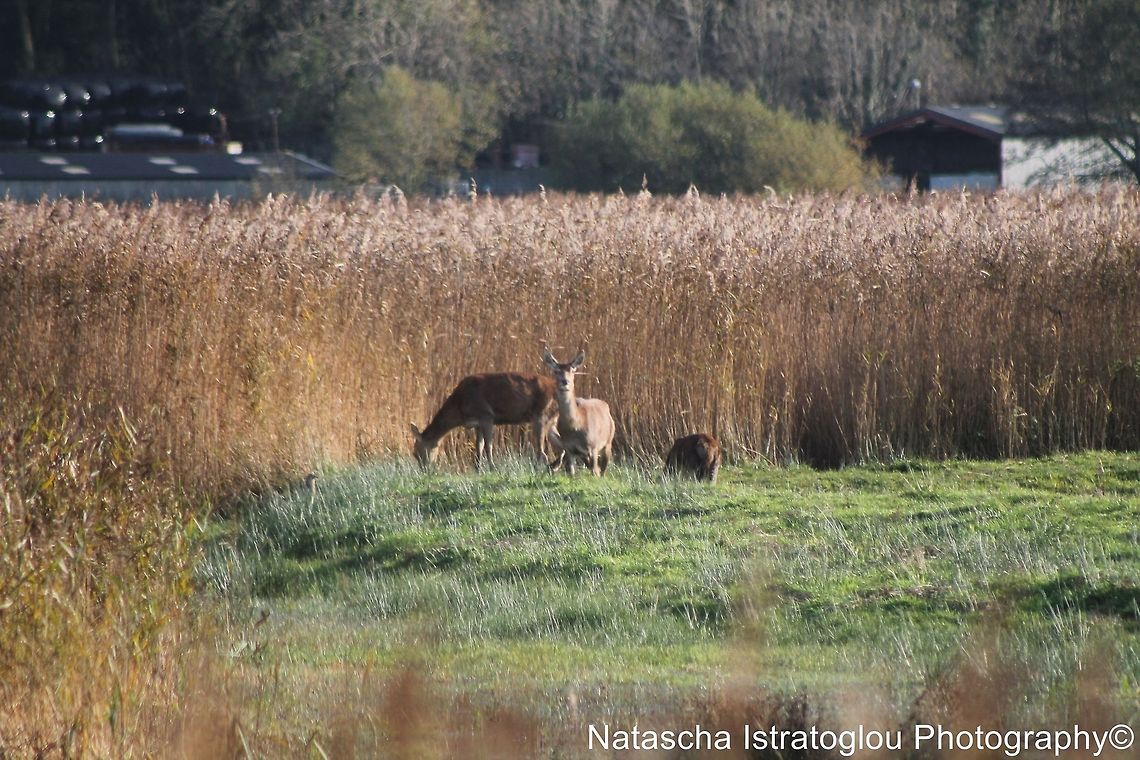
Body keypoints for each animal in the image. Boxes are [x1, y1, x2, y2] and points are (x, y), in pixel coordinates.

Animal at [409, 372, 559, 468]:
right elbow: (479, 446)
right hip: (551, 419)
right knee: (558, 442)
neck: (460, 408)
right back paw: (555, 467)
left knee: (542, 450)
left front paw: (492, 467)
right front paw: (478, 468)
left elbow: (488, 446)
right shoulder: (477, 423)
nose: (424, 470)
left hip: (541, 414)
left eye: (416, 452)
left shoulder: (486, 415)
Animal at [542, 348, 615, 476]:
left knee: (602, 470)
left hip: (608, 442)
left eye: (572, 370)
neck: (576, 425)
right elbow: (571, 472)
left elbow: (595, 472)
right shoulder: (569, 449)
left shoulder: (593, 446)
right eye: (556, 371)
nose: (565, 381)